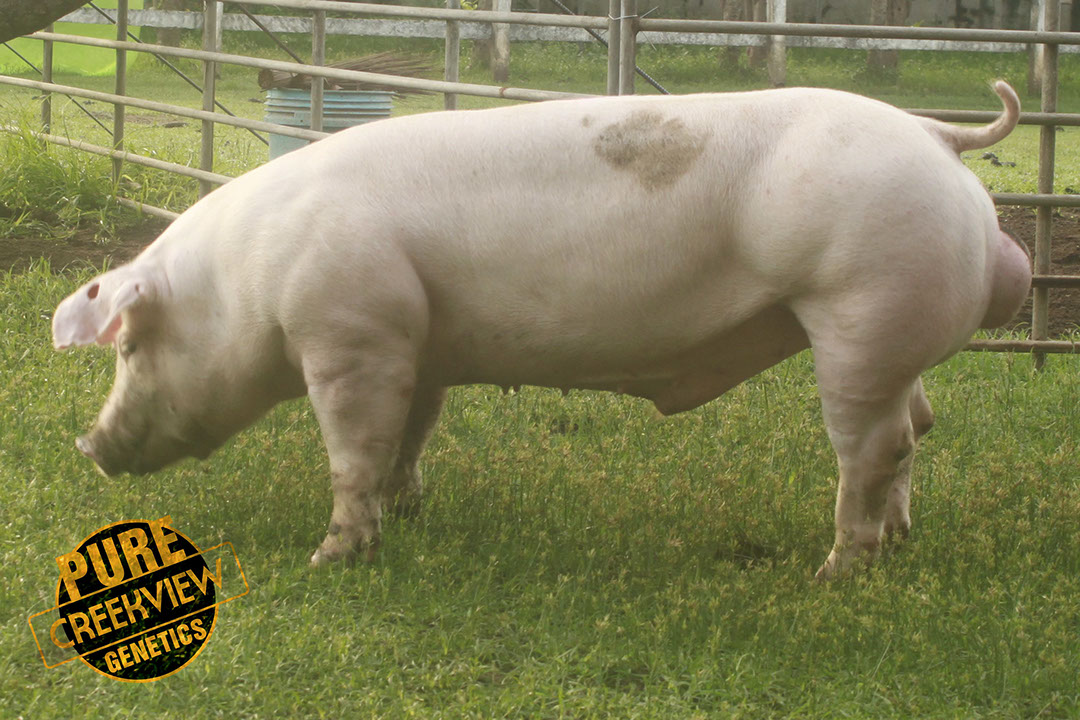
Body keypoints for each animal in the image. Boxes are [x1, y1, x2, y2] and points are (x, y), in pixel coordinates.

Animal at [53, 81, 1031, 579]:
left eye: (130, 345)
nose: (88, 446)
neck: (248, 277)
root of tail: (939, 139)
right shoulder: (415, 339)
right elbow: (412, 432)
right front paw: (411, 512)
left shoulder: (350, 334)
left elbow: (353, 450)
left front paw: (331, 558)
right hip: (893, 331)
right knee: (917, 429)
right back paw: (898, 543)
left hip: (861, 308)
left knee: (872, 446)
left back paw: (834, 573)